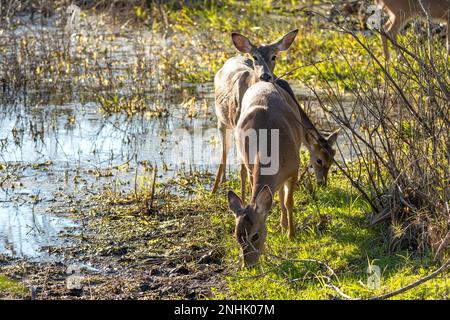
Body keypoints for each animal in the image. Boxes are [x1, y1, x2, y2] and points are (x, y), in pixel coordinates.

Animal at [227, 81, 340, 266]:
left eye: (255, 235)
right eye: (237, 236)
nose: (249, 265)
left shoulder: (293, 170)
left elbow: (288, 202)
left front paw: (291, 235)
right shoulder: (252, 171)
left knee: (280, 194)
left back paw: (284, 225)